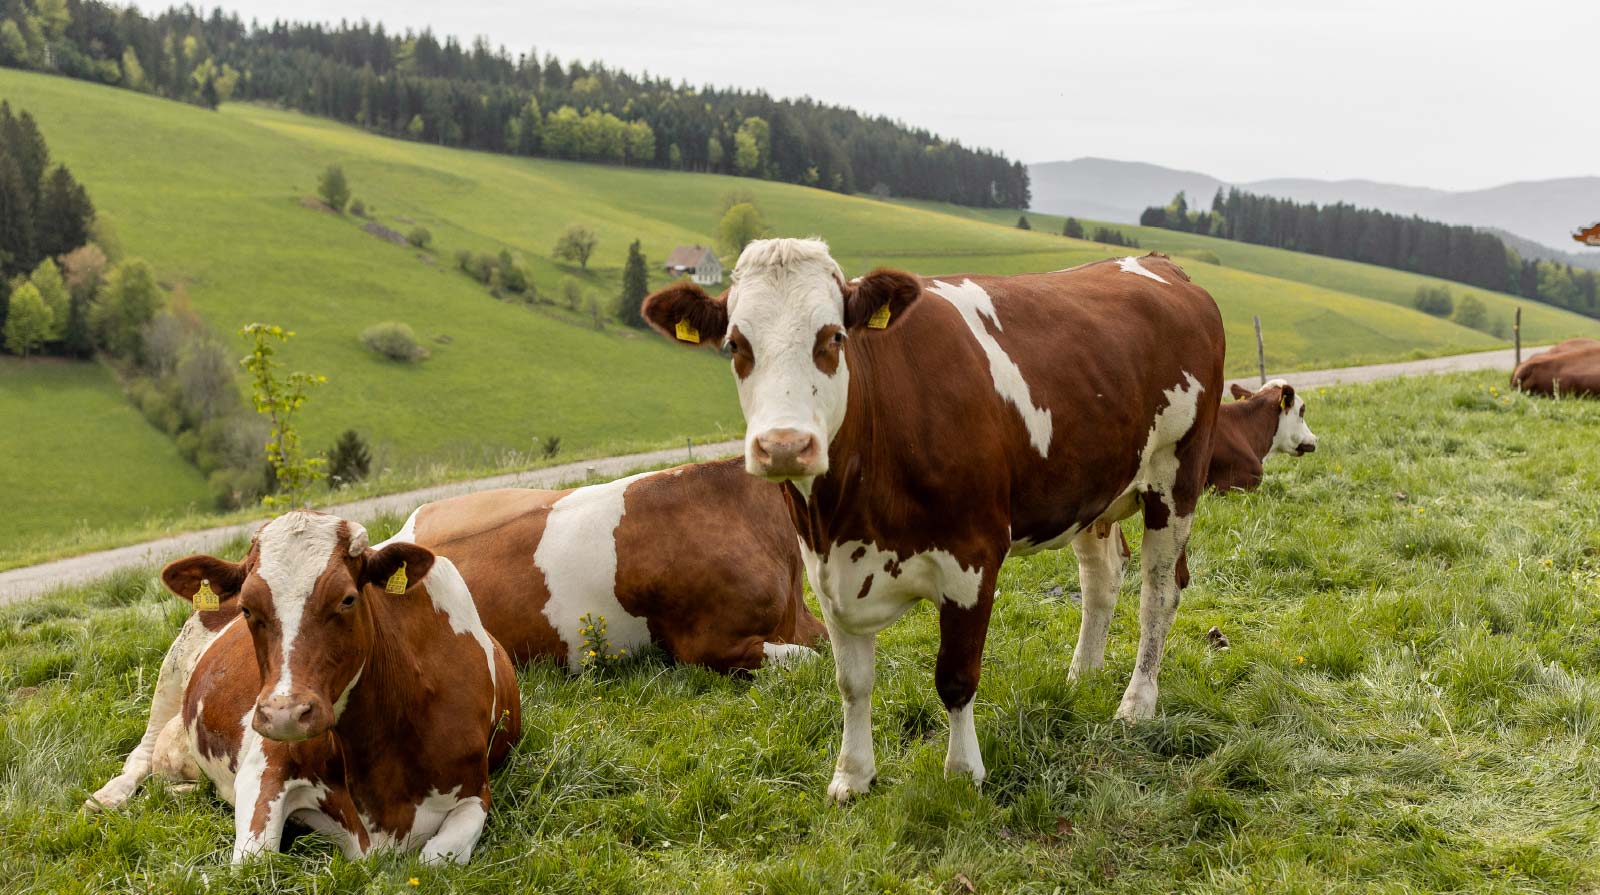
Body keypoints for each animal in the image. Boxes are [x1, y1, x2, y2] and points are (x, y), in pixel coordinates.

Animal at [86, 511, 522, 865]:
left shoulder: (475, 793)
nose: (284, 714)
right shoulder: (262, 768)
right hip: (171, 676)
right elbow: (254, 860)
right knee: (142, 753)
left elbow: (435, 859)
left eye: (347, 599)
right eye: (247, 608)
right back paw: (107, 797)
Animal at [641, 239, 1225, 801]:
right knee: (1102, 578)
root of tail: (1159, 264)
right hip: (1092, 490)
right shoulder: (824, 569)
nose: (784, 445)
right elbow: (852, 681)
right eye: (735, 345)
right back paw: (1081, 676)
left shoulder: (973, 558)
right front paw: (853, 775)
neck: (845, 515)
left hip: (1176, 474)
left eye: (833, 337)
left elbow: (956, 676)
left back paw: (1137, 702)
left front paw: (963, 773)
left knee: (1159, 590)